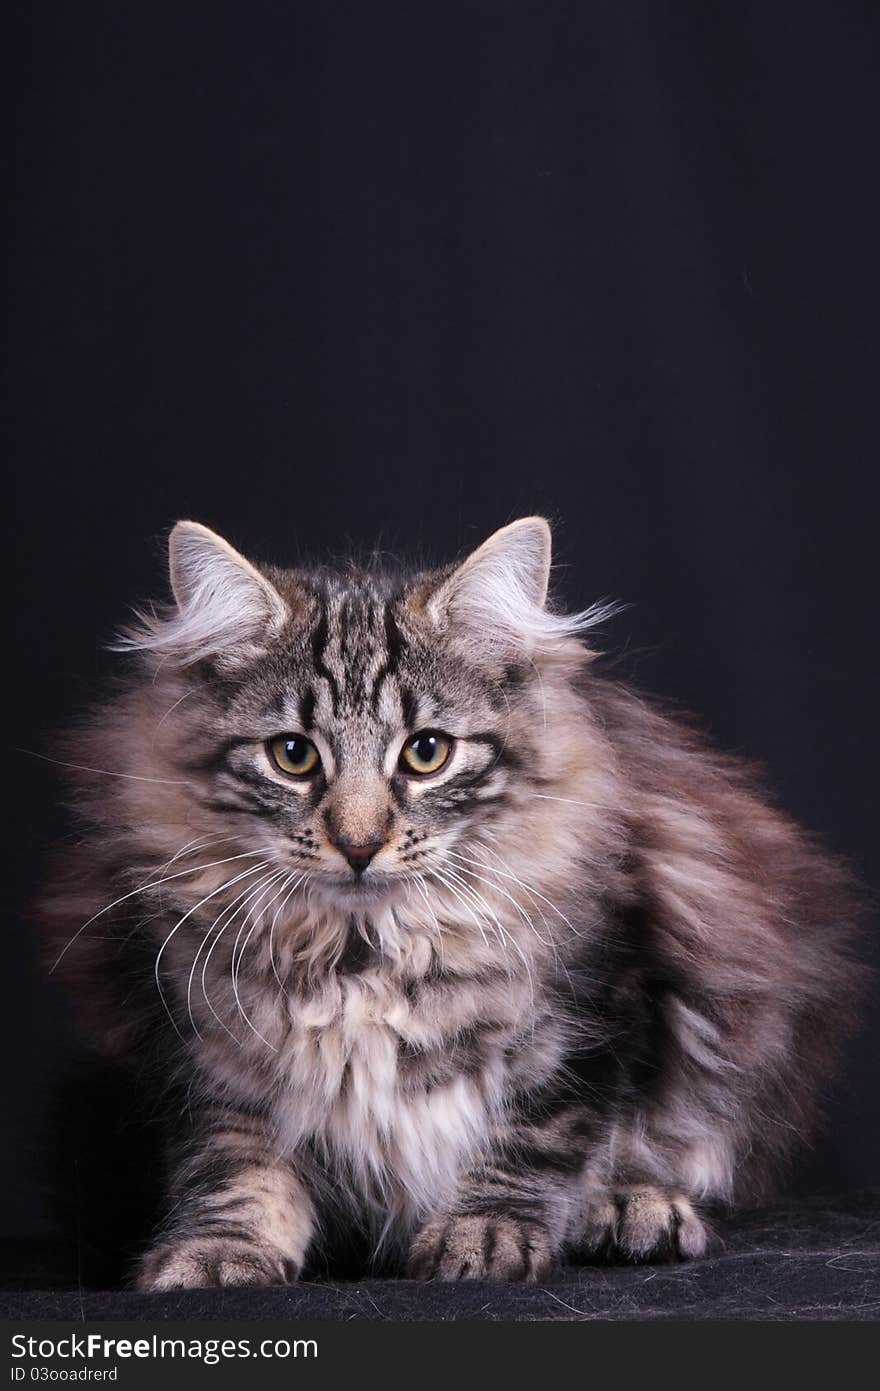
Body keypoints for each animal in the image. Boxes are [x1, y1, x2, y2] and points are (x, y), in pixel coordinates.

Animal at [37, 517, 861, 1285]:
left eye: (426, 752)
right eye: (293, 755)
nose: (359, 843)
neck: (362, 948)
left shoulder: (595, 1007)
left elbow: (535, 1139)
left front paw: (484, 1234)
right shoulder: (207, 1041)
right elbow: (234, 1162)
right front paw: (218, 1250)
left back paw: (633, 1209)